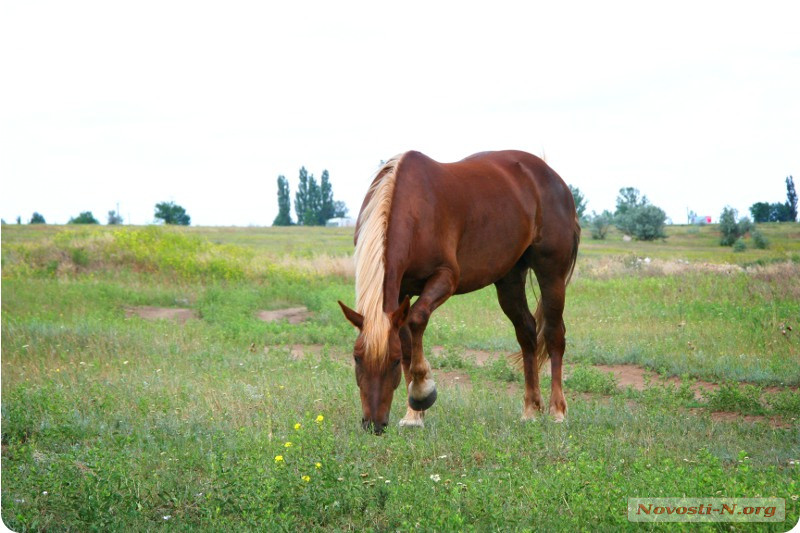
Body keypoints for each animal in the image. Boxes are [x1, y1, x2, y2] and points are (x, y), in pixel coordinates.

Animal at [340, 149, 580, 432]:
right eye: (356, 358)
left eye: (394, 361)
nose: (374, 424)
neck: (413, 207)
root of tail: (554, 178)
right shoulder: (400, 294)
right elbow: (408, 339)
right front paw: (413, 415)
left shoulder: (445, 278)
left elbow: (416, 320)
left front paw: (422, 392)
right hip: (509, 279)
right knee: (527, 333)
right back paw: (530, 410)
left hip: (551, 273)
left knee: (554, 335)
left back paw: (557, 411)